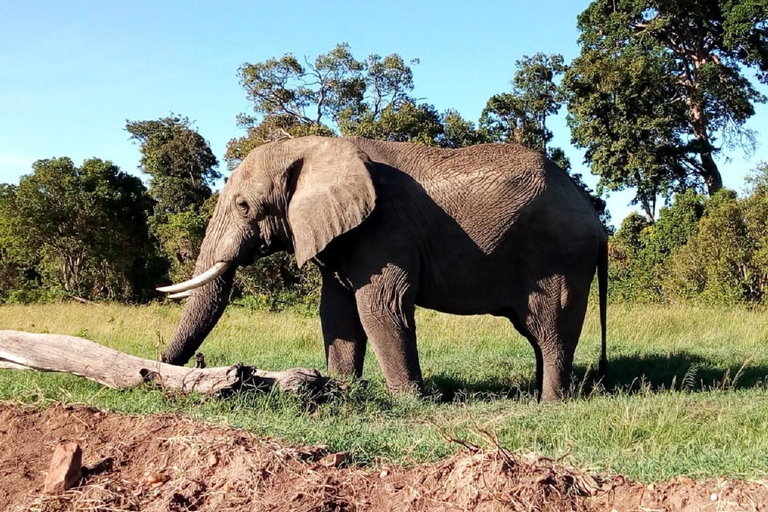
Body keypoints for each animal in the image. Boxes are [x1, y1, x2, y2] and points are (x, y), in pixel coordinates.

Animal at [159, 136, 608, 400]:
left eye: (243, 206)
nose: (162, 367)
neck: (316, 147)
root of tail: (596, 219)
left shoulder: (385, 231)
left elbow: (379, 308)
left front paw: (409, 401)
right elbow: (336, 312)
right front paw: (341, 388)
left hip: (559, 258)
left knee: (550, 328)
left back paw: (550, 402)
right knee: (535, 332)